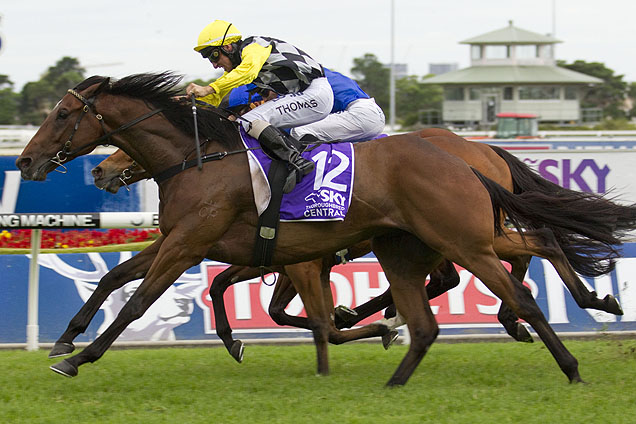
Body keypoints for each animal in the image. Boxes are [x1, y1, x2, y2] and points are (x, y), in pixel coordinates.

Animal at [14, 72, 636, 384]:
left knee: (506, 262)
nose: (24, 160)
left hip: (457, 234)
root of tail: (473, 154)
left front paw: (76, 357)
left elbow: (141, 299)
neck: (201, 157)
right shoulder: (192, 241)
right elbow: (116, 276)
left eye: (64, 115)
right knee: (527, 247)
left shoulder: (197, 244)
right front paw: (67, 337)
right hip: (443, 235)